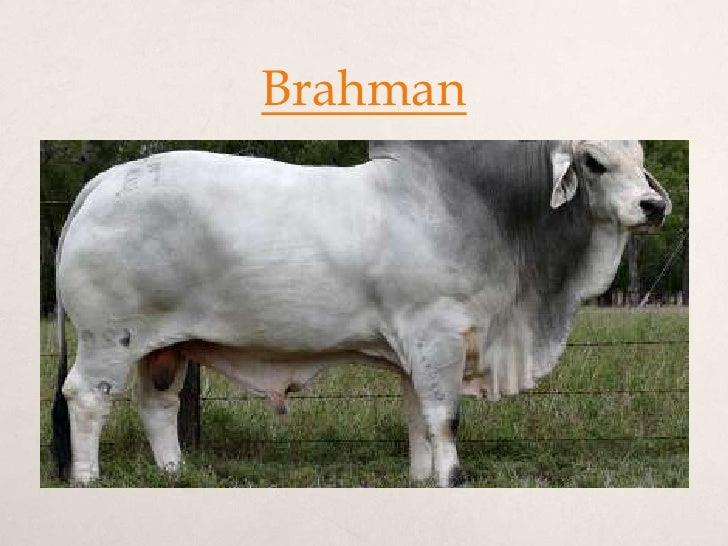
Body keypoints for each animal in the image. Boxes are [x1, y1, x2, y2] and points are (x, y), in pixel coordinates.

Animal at [51, 140, 671, 487]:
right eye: (594, 162)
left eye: (640, 158)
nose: (654, 205)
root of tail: (106, 180)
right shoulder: (439, 336)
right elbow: (444, 417)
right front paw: (452, 477)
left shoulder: (417, 352)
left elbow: (418, 417)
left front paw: (422, 476)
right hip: (109, 337)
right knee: (86, 397)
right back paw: (86, 477)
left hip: (163, 346)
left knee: (157, 404)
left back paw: (175, 474)